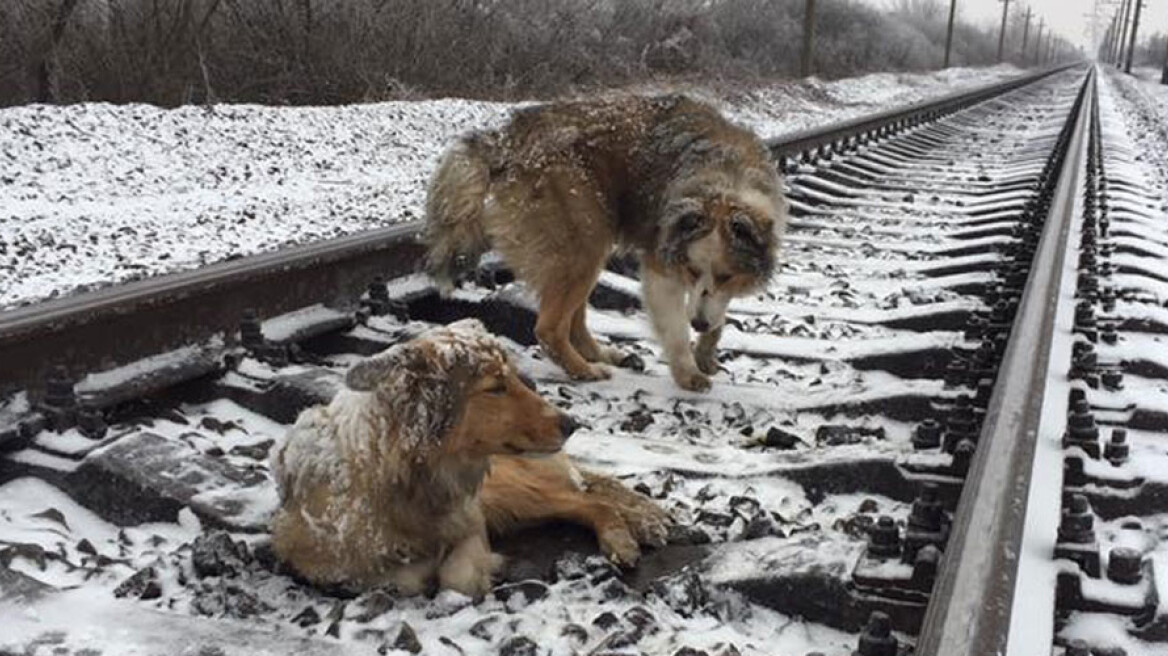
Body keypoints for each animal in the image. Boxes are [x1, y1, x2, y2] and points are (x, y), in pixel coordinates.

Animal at [267, 319, 668, 595]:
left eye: (514, 378)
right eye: (495, 387)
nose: (572, 423)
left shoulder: (471, 517)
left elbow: (455, 577)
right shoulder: (313, 558)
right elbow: (400, 578)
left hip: (509, 491)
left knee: (591, 500)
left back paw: (624, 536)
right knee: (586, 496)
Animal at [420, 92, 784, 387]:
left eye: (726, 276)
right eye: (691, 271)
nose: (698, 322)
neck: (725, 181)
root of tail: (505, 139)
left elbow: (717, 312)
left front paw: (706, 351)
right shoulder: (661, 264)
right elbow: (676, 328)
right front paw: (687, 371)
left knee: (574, 320)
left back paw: (605, 355)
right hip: (583, 239)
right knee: (549, 328)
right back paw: (584, 369)